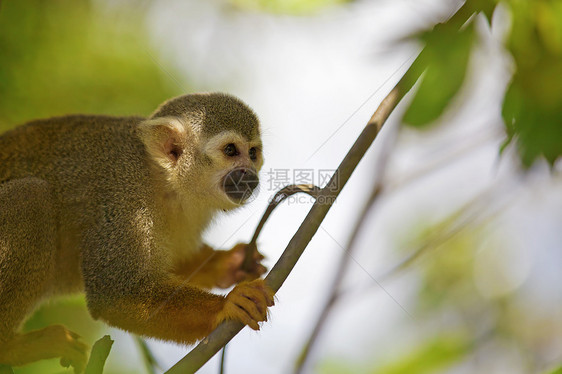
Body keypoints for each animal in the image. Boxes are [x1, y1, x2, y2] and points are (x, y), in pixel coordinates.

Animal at [0, 93, 274, 372]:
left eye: (253, 153)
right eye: (230, 150)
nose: (250, 175)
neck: (164, 179)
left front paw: (228, 264)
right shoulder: (126, 199)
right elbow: (114, 294)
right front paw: (226, 305)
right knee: (30, 197)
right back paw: (11, 348)